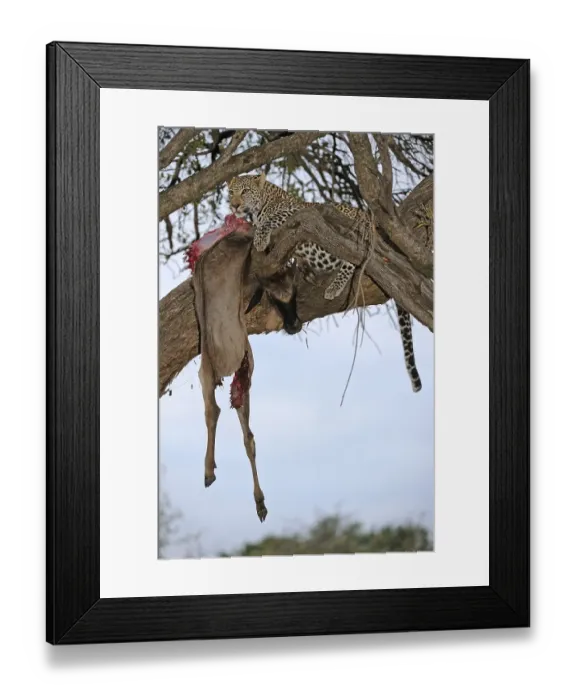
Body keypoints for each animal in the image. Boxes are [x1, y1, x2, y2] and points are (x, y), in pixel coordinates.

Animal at [192, 228, 301, 522]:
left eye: (296, 294)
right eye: (274, 299)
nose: (295, 326)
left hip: (213, 371)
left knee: (218, 414)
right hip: (238, 367)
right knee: (239, 429)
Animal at [227, 173, 422, 393]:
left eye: (245, 191)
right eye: (231, 192)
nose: (234, 205)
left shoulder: (296, 213)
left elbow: (271, 221)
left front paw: (260, 237)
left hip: (351, 232)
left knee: (352, 259)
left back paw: (333, 287)